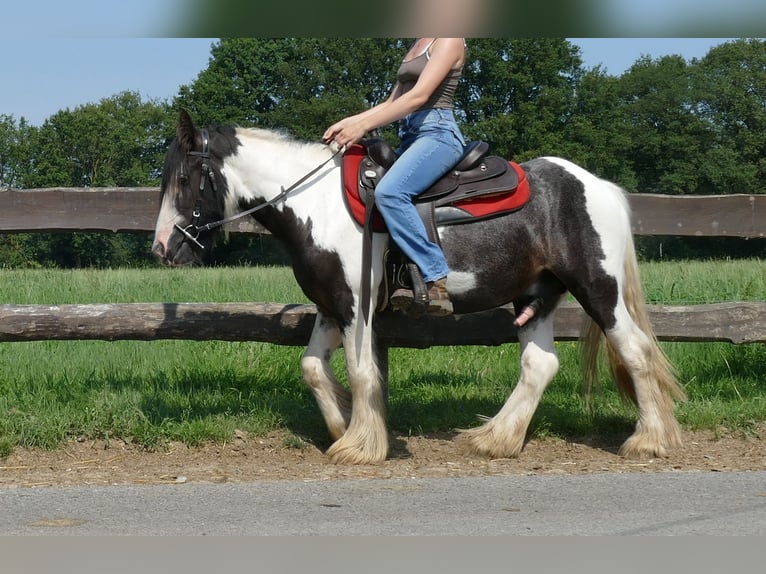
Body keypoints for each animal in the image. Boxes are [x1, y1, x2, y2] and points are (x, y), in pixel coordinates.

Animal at [153, 110, 688, 466]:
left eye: (184, 178)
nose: (162, 248)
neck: (317, 204)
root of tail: (598, 187)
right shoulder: (331, 304)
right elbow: (313, 368)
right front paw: (343, 424)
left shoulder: (356, 305)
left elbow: (362, 371)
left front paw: (361, 445)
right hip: (536, 295)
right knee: (540, 364)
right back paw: (496, 439)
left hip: (599, 288)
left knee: (637, 351)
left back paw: (649, 440)